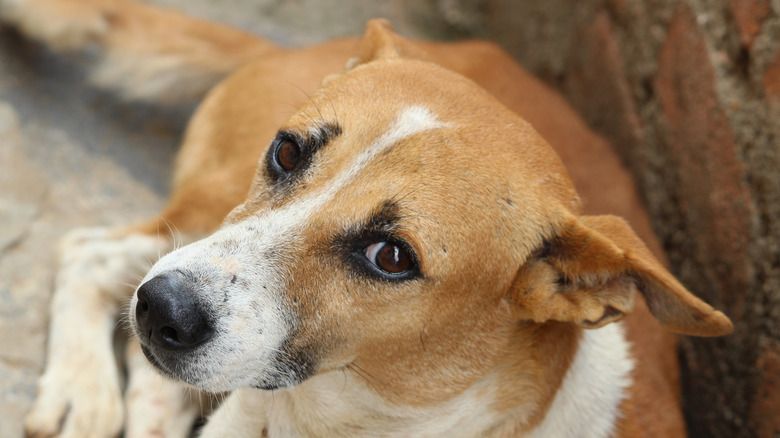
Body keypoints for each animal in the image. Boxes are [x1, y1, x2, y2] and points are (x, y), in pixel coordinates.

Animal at [0, 0, 736, 438]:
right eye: (288, 149)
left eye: (392, 257)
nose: (161, 309)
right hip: (204, 212)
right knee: (88, 251)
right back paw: (83, 389)